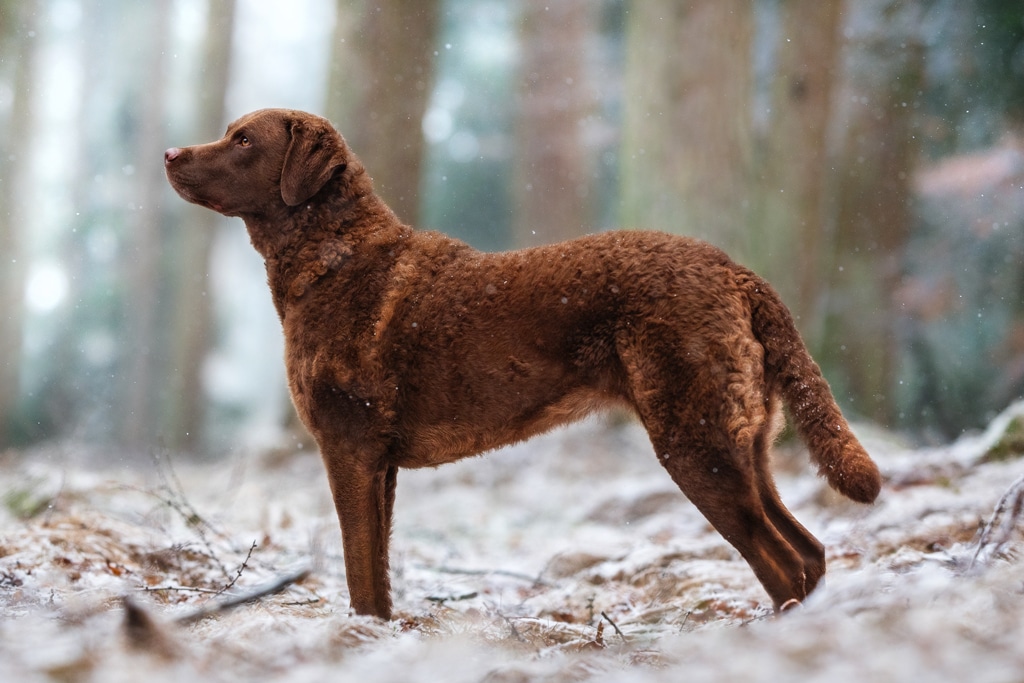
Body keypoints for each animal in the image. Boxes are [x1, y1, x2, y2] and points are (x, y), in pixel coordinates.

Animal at [165, 109, 880, 622]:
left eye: (242, 140)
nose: (170, 154)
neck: (334, 259)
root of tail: (735, 270)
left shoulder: (349, 447)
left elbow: (360, 571)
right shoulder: (381, 463)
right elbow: (380, 569)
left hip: (694, 441)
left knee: (782, 564)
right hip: (744, 444)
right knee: (810, 551)